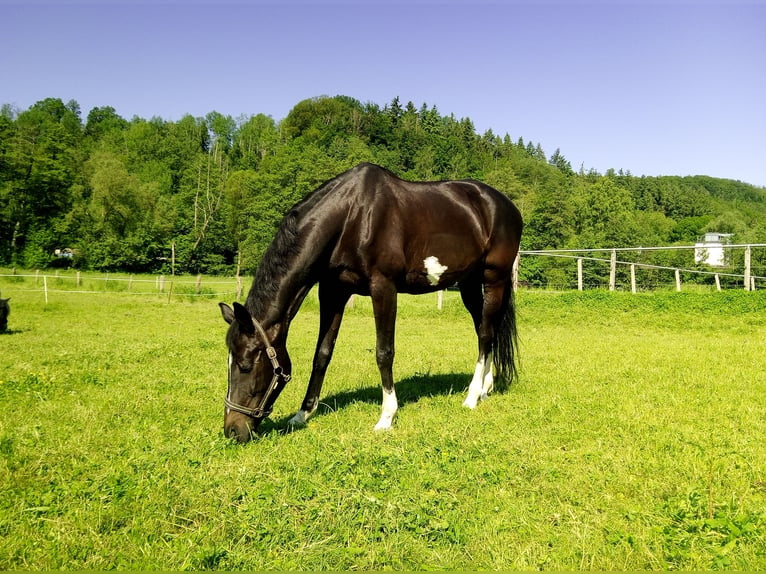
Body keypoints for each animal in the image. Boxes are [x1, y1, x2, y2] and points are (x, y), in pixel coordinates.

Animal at [219, 164, 524, 444]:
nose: (233, 430)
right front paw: (302, 414)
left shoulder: (384, 288)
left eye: (245, 365)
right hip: (469, 283)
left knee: (485, 334)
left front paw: (387, 417)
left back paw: (471, 397)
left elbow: (384, 352)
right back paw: (485, 388)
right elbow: (322, 354)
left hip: (494, 279)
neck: (350, 217)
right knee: (486, 331)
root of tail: (505, 205)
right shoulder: (333, 291)